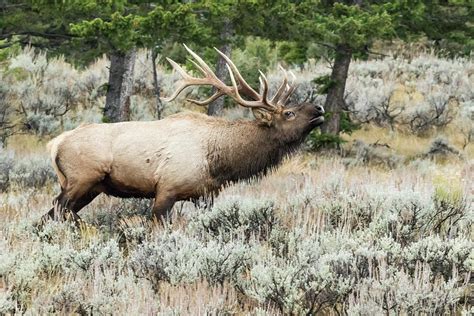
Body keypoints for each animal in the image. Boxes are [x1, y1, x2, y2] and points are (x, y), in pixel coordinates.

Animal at [42, 44, 324, 223]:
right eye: (289, 113)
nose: (319, 109)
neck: (218, 162)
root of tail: (55, 144)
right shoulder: (166, 190)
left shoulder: (205, 196)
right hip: (81, 179)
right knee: (56, 212)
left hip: (91, 188)